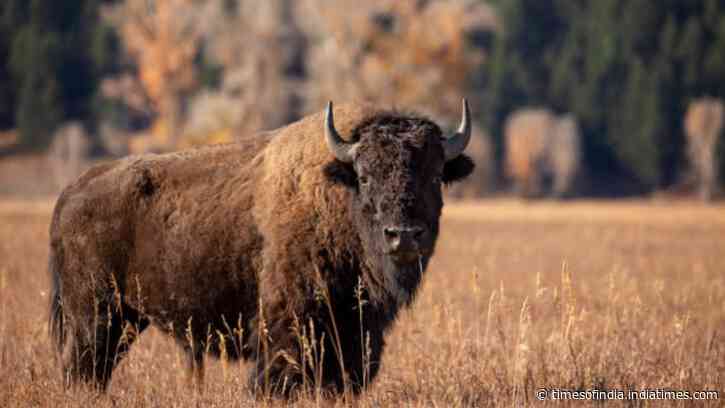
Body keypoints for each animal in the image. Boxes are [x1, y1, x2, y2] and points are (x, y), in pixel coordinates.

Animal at [48, 100, 474, 396]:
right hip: (95, 316)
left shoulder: (354, 337)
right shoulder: (285, 332)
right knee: (82, 370)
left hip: (125, 319)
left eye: (435, 176)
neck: (335, 195)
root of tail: (72, 189)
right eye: (366, 177)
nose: (403, 235)